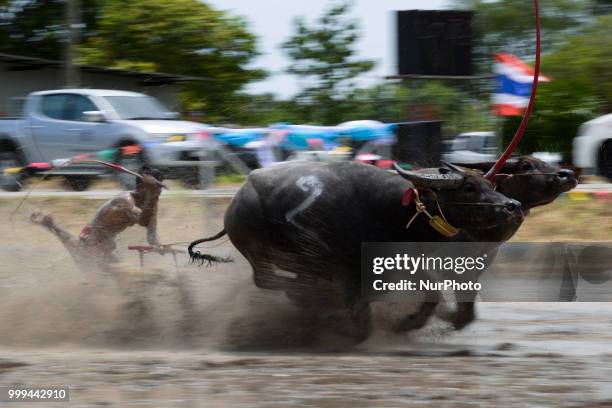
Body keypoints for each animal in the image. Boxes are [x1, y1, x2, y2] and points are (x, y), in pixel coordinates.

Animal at [188, 161, 520, 340]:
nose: (512, 205)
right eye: (468, 188)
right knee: (269, 280)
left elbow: (432, 295)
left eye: (488, 183)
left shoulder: (401, 262)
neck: (388, 211)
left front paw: (407, 323)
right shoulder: (348, 271)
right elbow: (361, 323)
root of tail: (235, 203)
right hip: (260, 252)